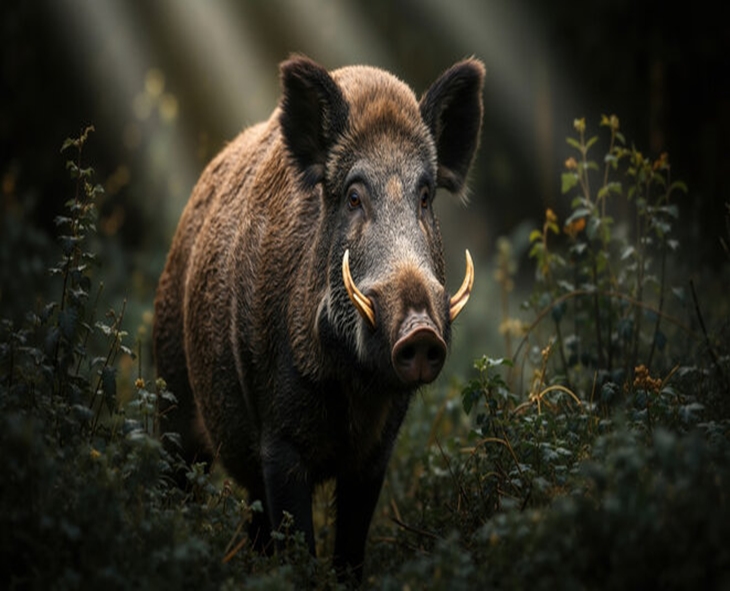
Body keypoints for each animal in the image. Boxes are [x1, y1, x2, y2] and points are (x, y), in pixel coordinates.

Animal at [153, 55, 484, 582]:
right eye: (352, 197)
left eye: (426, 196)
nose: (420, 331)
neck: (351, 384)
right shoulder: (279, 442)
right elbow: (299, 544)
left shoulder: (377, 452)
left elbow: (349, 549)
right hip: (172, 406)